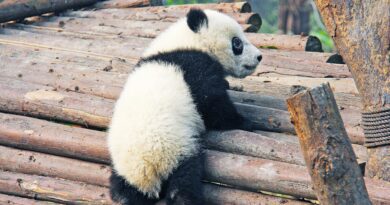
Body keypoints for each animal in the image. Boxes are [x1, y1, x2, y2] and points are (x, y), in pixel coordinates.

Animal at [107, 8, 262, 205]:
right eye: (237, 43)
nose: (259, 57)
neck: (187, 42)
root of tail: (146, 168)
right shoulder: (195, 67)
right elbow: (213, 106)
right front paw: (245, 122)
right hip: (177, 149)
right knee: (184, 179)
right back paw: (186, 197)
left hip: (124, 170)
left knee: (124, 190)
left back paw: (124, 196)